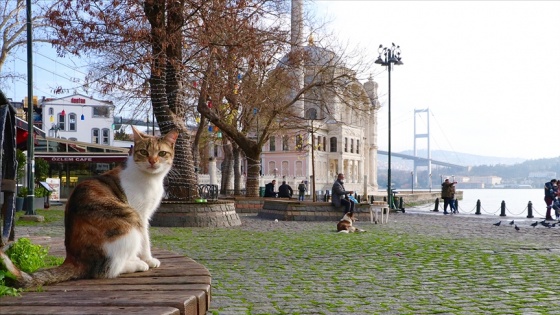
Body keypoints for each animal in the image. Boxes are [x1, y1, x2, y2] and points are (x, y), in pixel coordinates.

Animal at [0, 126, 178, 288]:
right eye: (144, 152)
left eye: (162, 153)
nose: (152, 161)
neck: (151, 179)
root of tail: (72, 258)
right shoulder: (140, 214)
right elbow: (145, 240)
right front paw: (148, 259)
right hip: (129, 219)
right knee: (108, 270)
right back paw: (137, 264)